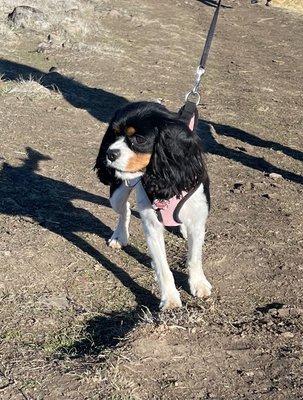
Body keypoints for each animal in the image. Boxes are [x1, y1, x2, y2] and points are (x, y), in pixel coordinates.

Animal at [95, 101, 211, 310]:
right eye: (114, 134)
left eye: (139, 139)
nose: (109, 153)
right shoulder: (152, 226)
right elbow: (163, 268)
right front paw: (170, 298)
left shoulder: (198, 220)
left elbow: (194, 257)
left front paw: (198, 283)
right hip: (117, 195)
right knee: (124, 210)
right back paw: (119, 235)